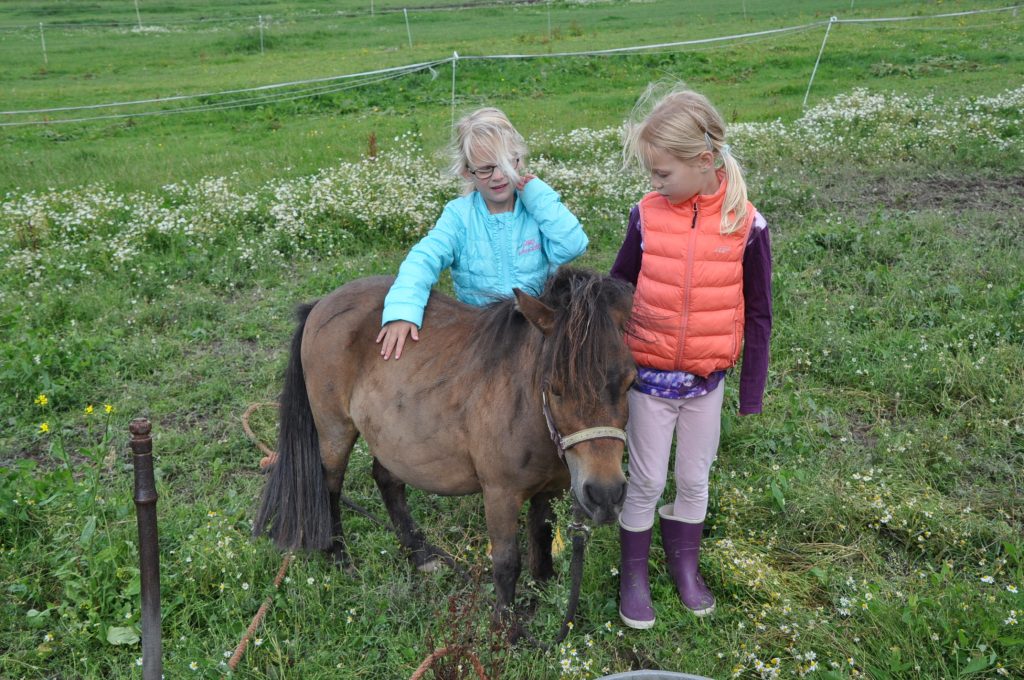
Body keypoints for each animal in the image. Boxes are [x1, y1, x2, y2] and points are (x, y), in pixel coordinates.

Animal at [253, 267, 636, 633]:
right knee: (330, 486)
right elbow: (506, 561)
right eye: (555, 387)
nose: (606, 495)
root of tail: (320, 304)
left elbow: (540, 539)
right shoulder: (499, 493)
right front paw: (505, 628)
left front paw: (542, 593)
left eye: (631, 381)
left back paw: (420, 554)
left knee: (387, 480)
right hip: (335, 430)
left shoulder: (552, 488)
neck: (527, 406)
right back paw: (340, 556)